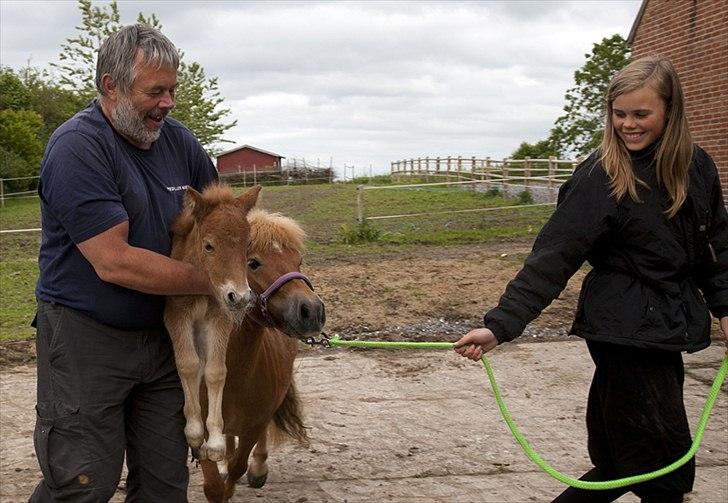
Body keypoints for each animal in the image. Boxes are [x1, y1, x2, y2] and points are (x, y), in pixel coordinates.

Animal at [165, 185, 262, 464]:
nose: (240, 297)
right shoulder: (176, 314)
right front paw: (195, 432)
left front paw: (216, 442)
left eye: (247, 244)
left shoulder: (220, 317)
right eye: (208, 246)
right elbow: (187, 364)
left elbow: (215, 371)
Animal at [198, 207, 326, 502]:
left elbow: (238, 466)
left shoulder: (255, 424)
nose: (312, 311)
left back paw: (258, 469)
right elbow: (213, 482)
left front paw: (244, 473)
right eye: (253, 263)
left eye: (299, 261)